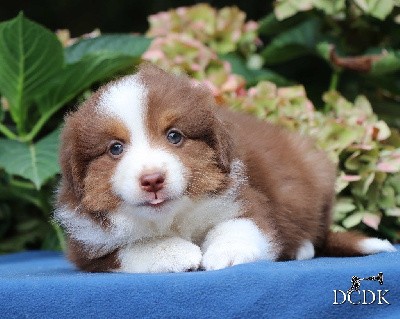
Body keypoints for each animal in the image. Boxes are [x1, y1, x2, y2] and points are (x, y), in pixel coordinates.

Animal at [54, 64, 396, 272]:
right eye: (115, 148)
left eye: (174, 136)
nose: (152, 180)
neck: (172, 218)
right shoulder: (87, 246)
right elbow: (130, 249)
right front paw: (176, 252)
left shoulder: (243, 197)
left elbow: (241, 226)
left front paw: (225, 253)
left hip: (317, 175)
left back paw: (301, 248)